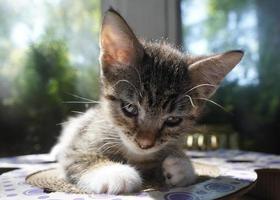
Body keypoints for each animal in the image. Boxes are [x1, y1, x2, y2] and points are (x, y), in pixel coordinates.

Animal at [51, 8, 244, 195]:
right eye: (130, 108)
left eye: (173, 120)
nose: (145, 144)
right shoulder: (81, 140)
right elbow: (79, 156)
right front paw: (114, 173)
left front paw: (181, 165)